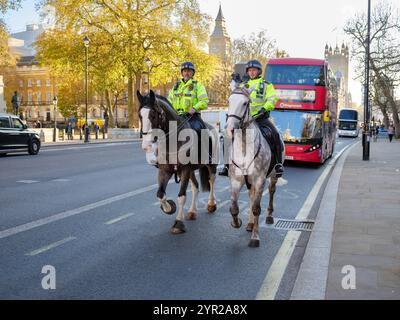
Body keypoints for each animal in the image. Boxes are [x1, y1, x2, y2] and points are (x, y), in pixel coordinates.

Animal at [225, 84, 284, 246]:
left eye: (245, 103)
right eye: (229, 101)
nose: (230, 129)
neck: (245, 148)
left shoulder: (259, 180)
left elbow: (257, 208)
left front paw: (255, 238)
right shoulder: (236, 180)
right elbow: (233, 207)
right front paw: (236, 222)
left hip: (273, 176)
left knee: (271, 191)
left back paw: (269, 216)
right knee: (251, 196)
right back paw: (250, 223)